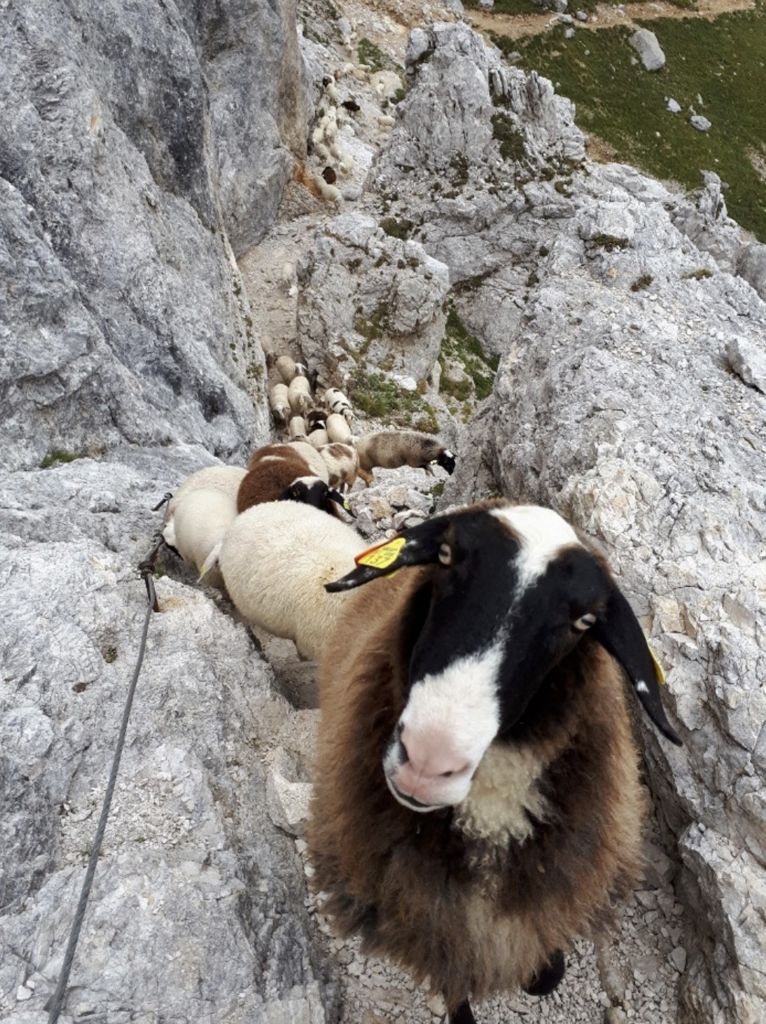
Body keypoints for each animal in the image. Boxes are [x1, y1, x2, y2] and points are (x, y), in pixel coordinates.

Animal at [309, 500, 682, 1024]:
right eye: (445, 554)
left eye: (584, 621)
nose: (427, 761)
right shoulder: (431, 922)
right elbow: (457, 988)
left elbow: (546, 975)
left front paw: (542, 971)